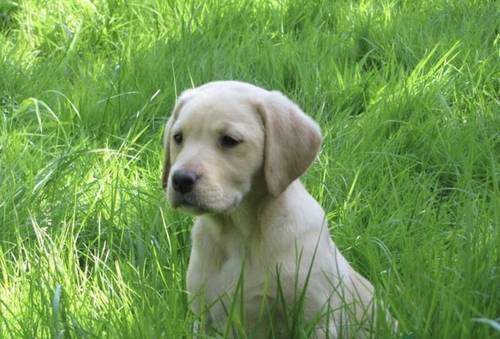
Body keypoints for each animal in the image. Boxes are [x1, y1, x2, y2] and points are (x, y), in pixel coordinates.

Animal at [163, 81, 378, 338]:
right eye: (178, 138)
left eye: (229, 140)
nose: (180, 180)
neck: (238, 233)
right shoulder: (204, 317)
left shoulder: (318, 318)